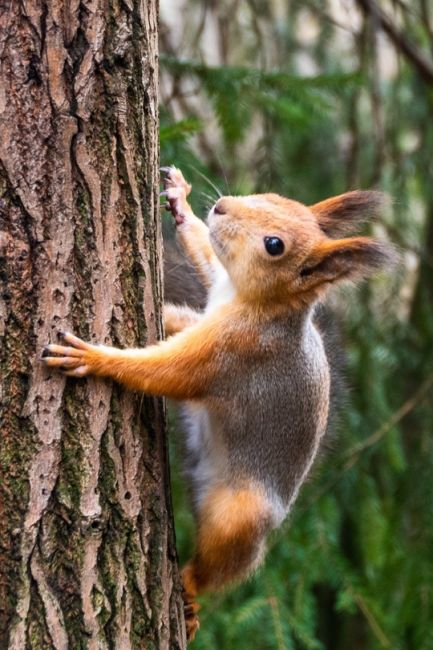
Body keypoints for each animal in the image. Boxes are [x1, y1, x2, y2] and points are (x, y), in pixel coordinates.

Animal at [42, 166, 394, 636]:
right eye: (271, 196)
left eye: (274, 245)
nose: (222, 206)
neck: (255, 303)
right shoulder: (214, 293)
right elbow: (206, 261)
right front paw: (181, 200)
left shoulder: (234, 353)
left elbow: (169, 372)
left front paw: (93, 357)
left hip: (239, 518)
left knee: (218, 569)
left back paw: (190, 595)